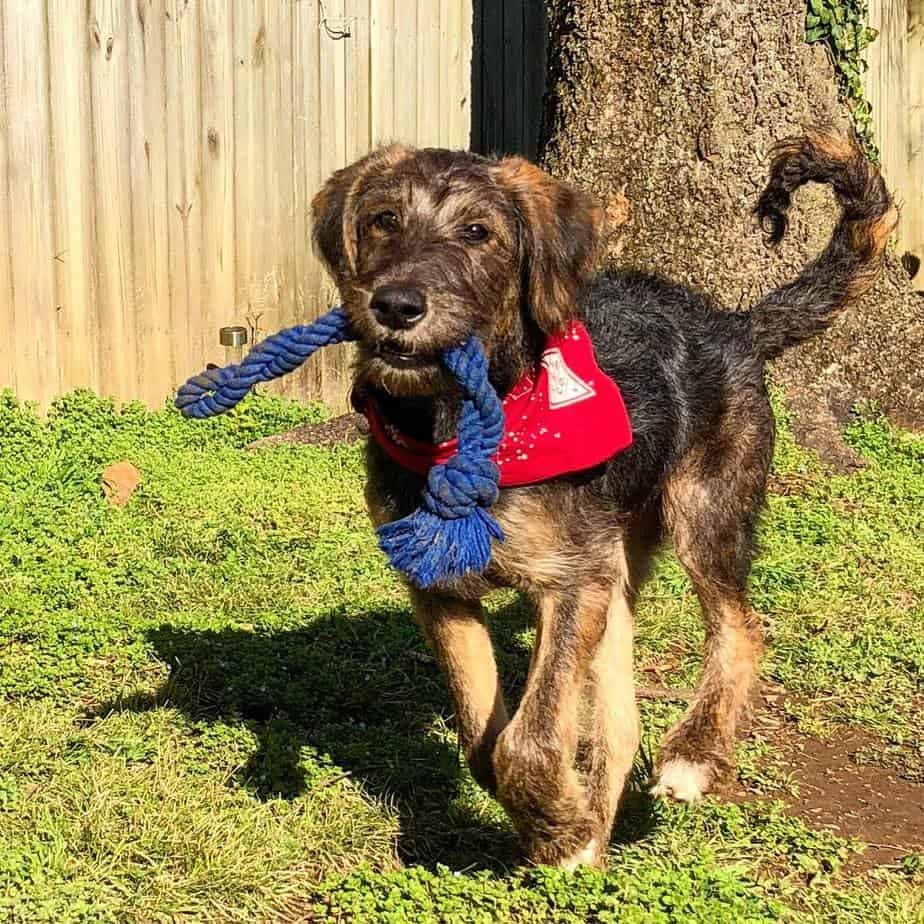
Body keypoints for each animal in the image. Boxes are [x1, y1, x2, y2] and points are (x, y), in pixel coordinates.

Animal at [308, 132, 896, 868]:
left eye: (478, 233)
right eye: (383, 219)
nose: (396, 304)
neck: (460, 427)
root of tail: (734, 327)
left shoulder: (569, 583)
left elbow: (529, 738)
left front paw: (556, 830)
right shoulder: (442, 587)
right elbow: (482, 733)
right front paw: (562, 823)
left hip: (704, 513)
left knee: (741, 627)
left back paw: (693, 754)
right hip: (617, 573)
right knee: (619, 724)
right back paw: (596, 825)